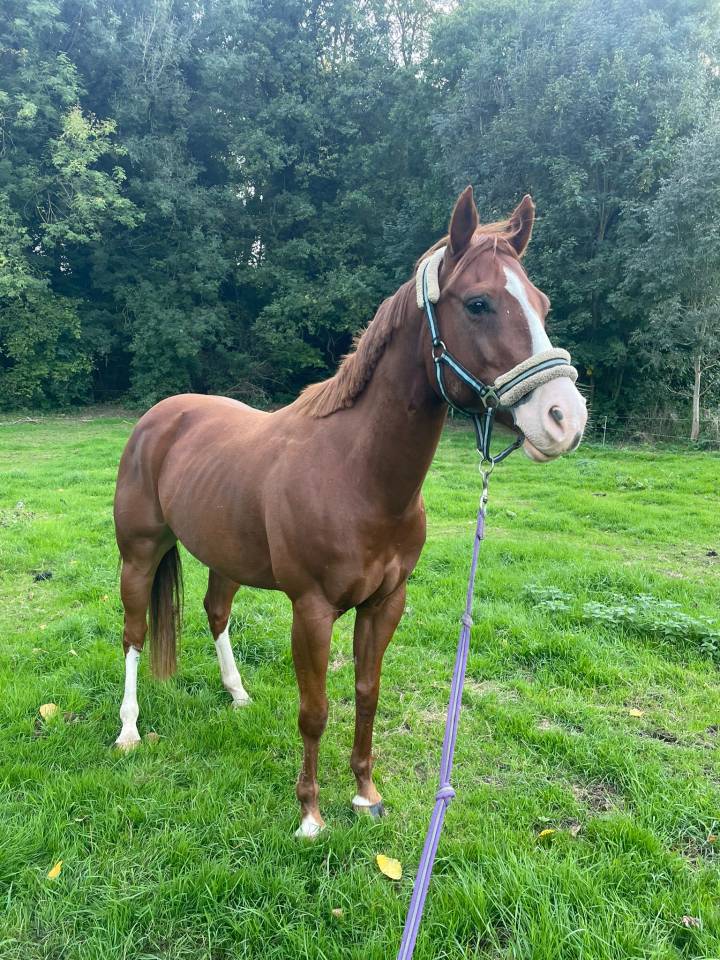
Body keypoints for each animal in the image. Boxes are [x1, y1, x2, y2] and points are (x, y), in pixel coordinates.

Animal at [112, 186, 587, 837]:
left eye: (542, 303)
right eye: (479, 303)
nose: (564, 417)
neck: (356, 476)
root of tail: (159, 417)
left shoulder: (385, 603)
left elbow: (367, 692)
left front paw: (365, 792)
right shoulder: (311, 610)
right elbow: (314, 709)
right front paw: (310, 812)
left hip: (224, 556)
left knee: (215, 613)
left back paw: (237, 695)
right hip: (139, 553)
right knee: (134, 634)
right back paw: (129, 729)